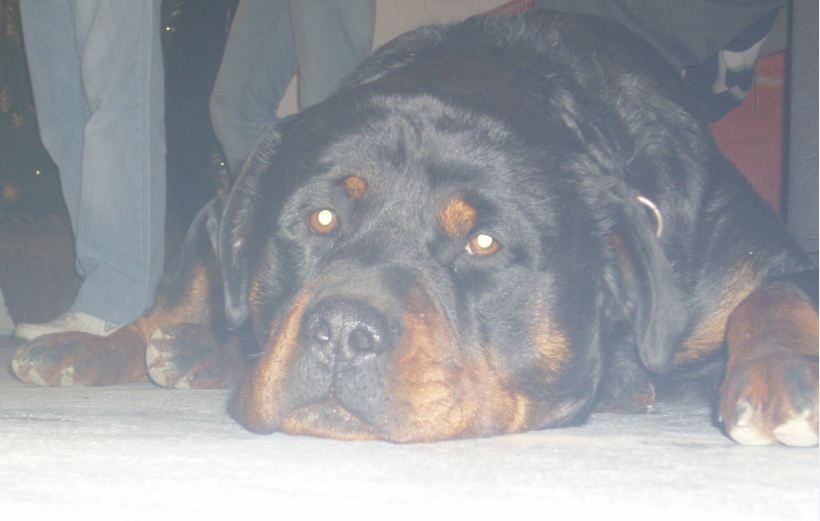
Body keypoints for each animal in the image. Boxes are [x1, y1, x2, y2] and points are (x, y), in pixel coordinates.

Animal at [12, 10, 818, 445]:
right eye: (320, 218)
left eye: (483, 243)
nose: (341, 331)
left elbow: (772, 296)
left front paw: (778, 373)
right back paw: (111, 347)